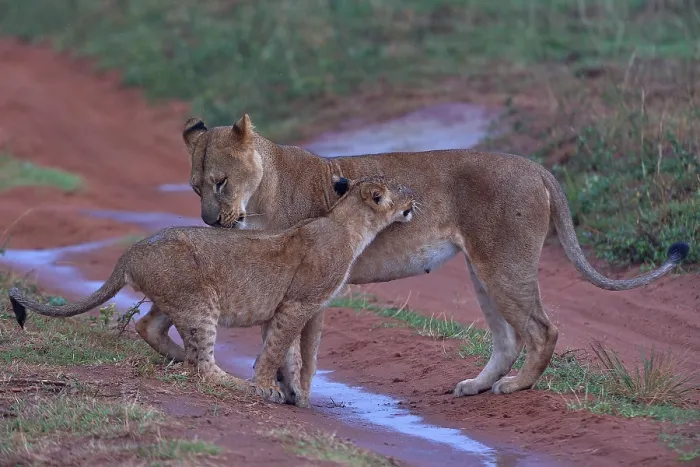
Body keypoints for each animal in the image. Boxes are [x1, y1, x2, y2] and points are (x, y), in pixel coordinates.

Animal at [8, 175, 417, 407]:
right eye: (402, 192)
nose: (417, 201)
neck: (349, 226)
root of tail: (132, 251)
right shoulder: (300, 303)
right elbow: (280, 350)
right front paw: (269, 388)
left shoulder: (284, 307)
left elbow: (282, 351)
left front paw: (290, 392)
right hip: (201, 302)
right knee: (203, 367)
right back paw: (234, 383)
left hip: (178, 297)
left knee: (150, 327)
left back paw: (177, 357)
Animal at [179, 114, 690, 398]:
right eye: (195, 187)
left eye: (221, 182)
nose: (211, 222)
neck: (261, 194)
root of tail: (535, 166)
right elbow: (278, 339)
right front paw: (280, 388)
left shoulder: (314, 280)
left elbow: (299, 344)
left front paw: (294, 394)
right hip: (483, 269)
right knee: (508, 339)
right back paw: (476, 386)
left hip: (504, 264)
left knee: (543, 330)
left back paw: (514, 387)